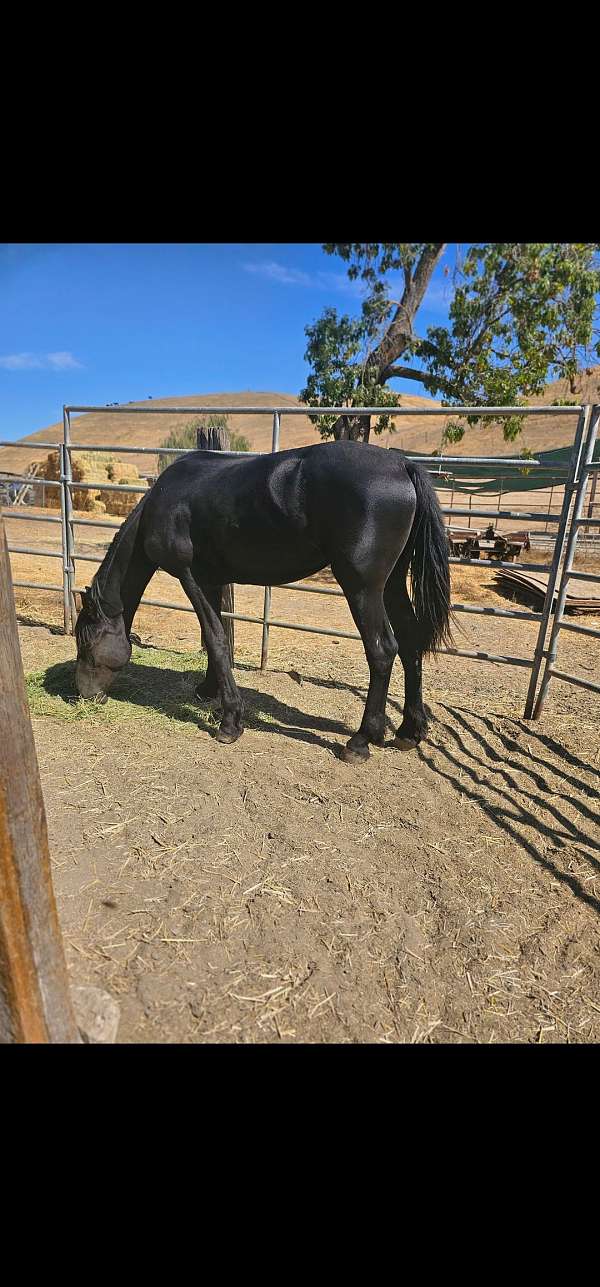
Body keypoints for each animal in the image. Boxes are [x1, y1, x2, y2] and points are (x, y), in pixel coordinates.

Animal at [75, 442, 450, 761]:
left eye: (87, 641)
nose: (84, 695)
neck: (163, 501)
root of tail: (402, 465)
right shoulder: (211, 581)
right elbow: (220, 637)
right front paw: (209, 690)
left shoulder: (189, 576)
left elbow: (214, 638)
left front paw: (230, 723)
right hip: (392, 583)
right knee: (411, 644)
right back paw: (409, 731)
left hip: (362, 588)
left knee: (382, 650)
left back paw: (359, 742)